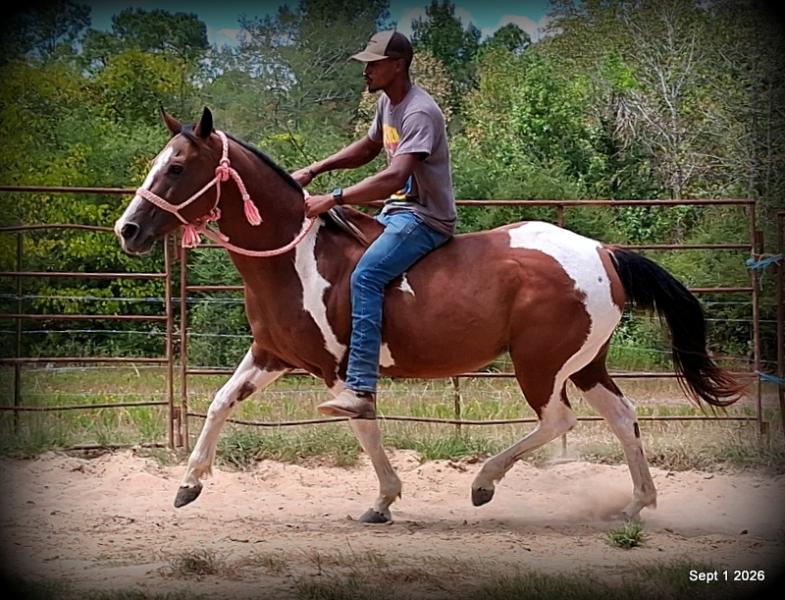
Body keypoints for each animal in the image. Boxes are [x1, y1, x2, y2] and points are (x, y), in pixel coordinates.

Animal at [115, 108, 743, 524]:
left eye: (176, 168)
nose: (128, 229)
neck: (297, 256)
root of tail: (602, 252)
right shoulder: (272, 355)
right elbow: (220, 403)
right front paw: (188, 485)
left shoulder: (339, 369)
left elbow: (363, 425)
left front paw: (383, 500)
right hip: (586, 364)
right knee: (623, 416)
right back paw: (638, 503)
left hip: (540, 365)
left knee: (558, 421)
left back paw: (485, 484)